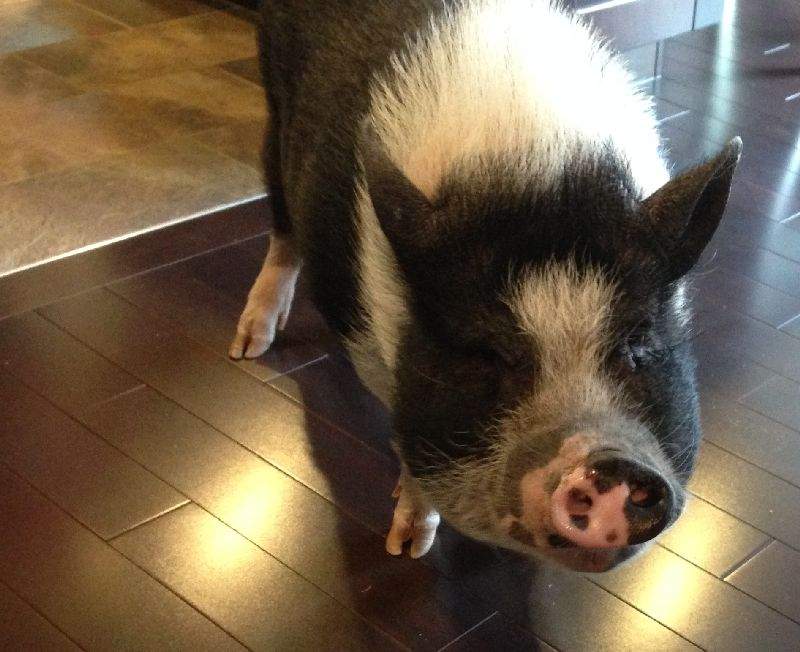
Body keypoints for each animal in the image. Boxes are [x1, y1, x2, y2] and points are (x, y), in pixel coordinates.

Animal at [230, 0, 741, 572]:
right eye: (486, 352)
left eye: (639, 347)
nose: (611, 461)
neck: (536, 166)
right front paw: (406, 549)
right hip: (275, 108)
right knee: (280, 221)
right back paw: (248, 347)